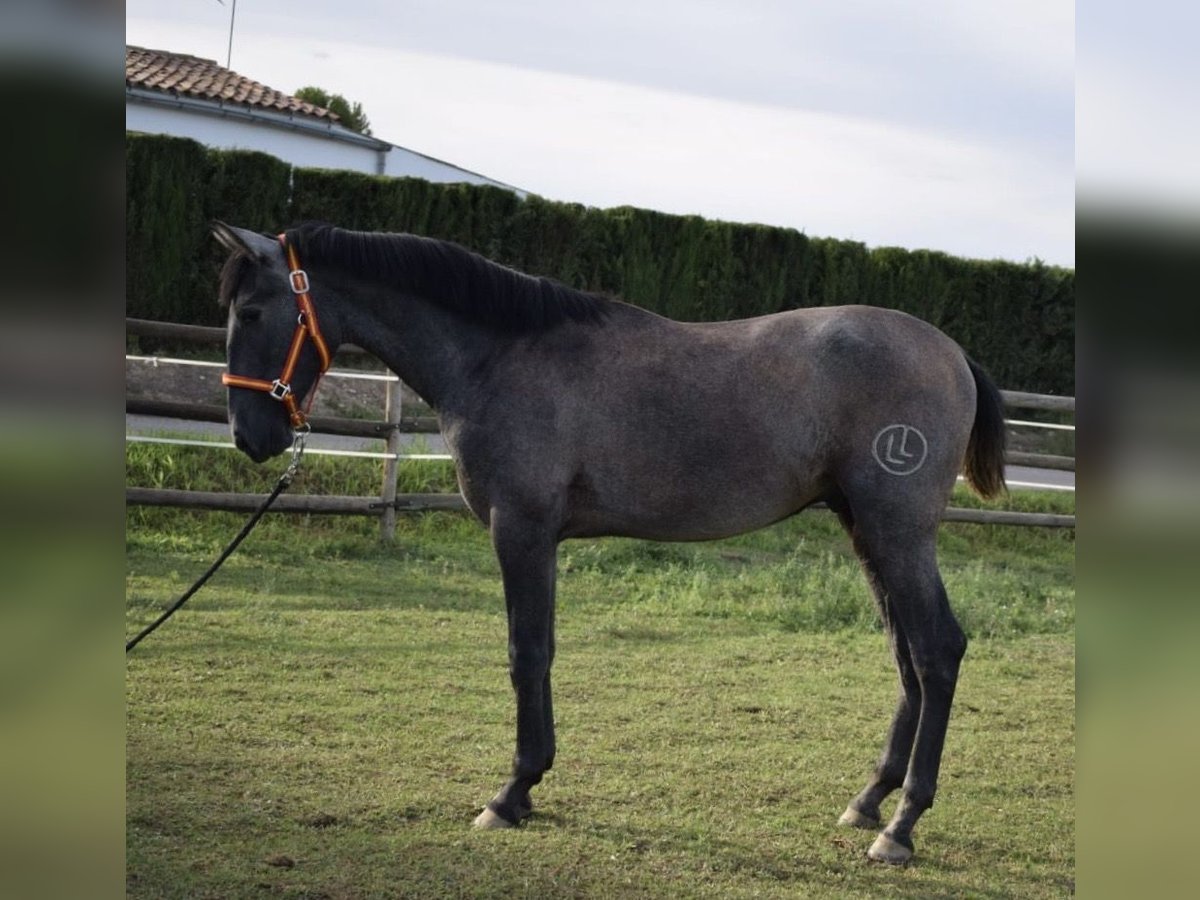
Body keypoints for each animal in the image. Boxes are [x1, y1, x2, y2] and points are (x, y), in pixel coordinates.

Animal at [213, 220, 1003, 868]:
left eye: (250, 313)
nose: (251, 436)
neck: (499, 355)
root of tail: (954, 353)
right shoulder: (537, 537)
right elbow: (542, 652)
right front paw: (528, 787)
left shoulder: (521, 529)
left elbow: (526, 654)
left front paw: (511, 793)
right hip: (865, 529)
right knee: (906, 655)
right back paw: (869, 799)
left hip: (897, 532)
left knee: (937, 651)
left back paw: (900, 827)